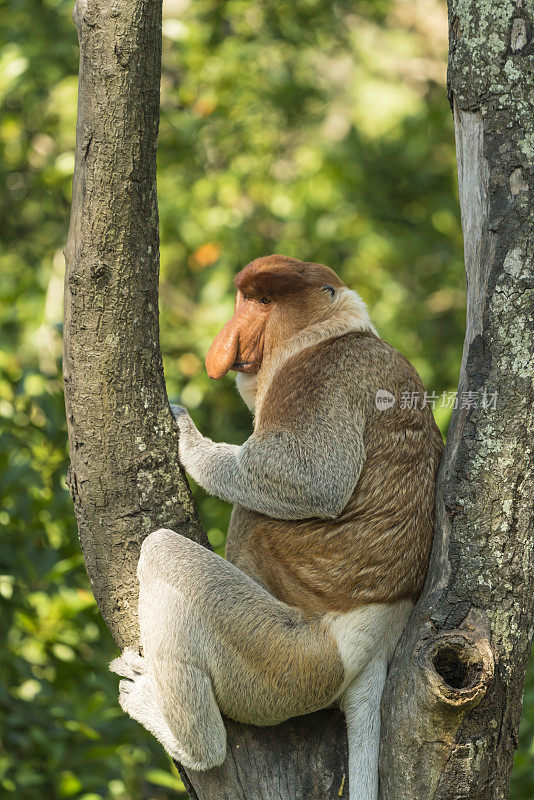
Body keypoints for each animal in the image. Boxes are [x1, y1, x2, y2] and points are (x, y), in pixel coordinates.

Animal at [111, 256, 446, 800]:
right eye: (245, 298)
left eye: (265, 301)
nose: (228, 344)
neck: (331, 328)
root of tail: (374, 646)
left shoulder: (321, 376)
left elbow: (310, 477)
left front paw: (185, 433)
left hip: (286, 659)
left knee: (164, 553)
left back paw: (182, 734)